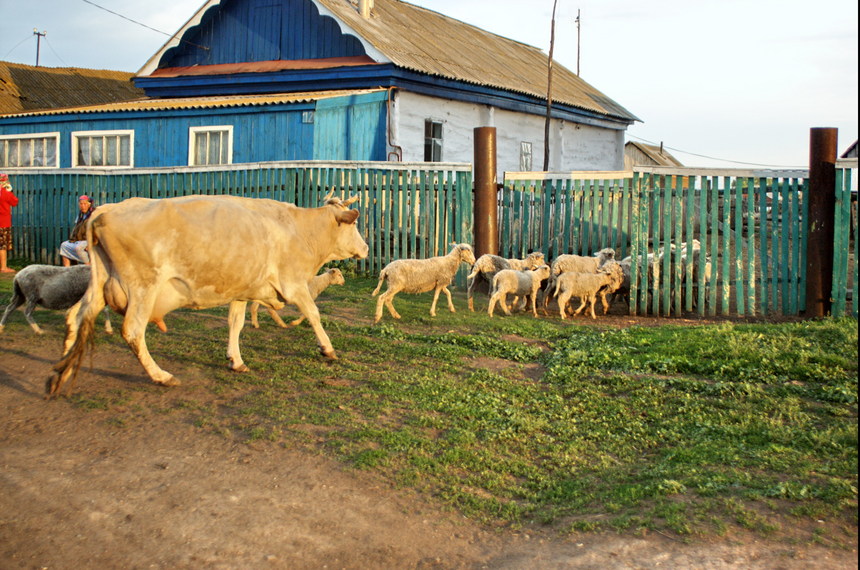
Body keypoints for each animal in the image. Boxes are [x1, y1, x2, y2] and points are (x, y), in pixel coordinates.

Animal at [48, 191, 368, 394]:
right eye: (353, 223)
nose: (365, 248)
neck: (300, 229)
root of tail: (107, 210)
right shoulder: (293, 284)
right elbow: (313, 314)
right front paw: (327, 349)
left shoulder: (242, 290)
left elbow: (235, 324)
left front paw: (235, 360)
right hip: (142, 286)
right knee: (133, 331)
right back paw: (161, 376)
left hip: (100, 284)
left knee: (75, 316)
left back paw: (61, 370)